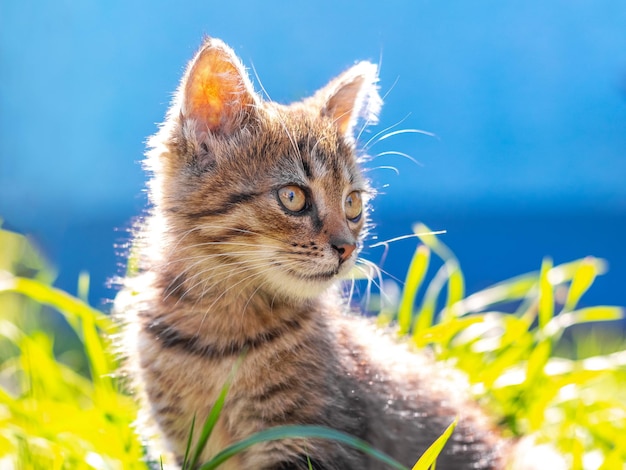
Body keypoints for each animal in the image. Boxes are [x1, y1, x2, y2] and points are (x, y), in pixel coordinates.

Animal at [116, 37, 560, 470]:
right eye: (292, 196)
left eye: (352, 203)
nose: (347, 247)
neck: (220, 333)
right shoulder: (185, 443)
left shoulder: (310, 440)